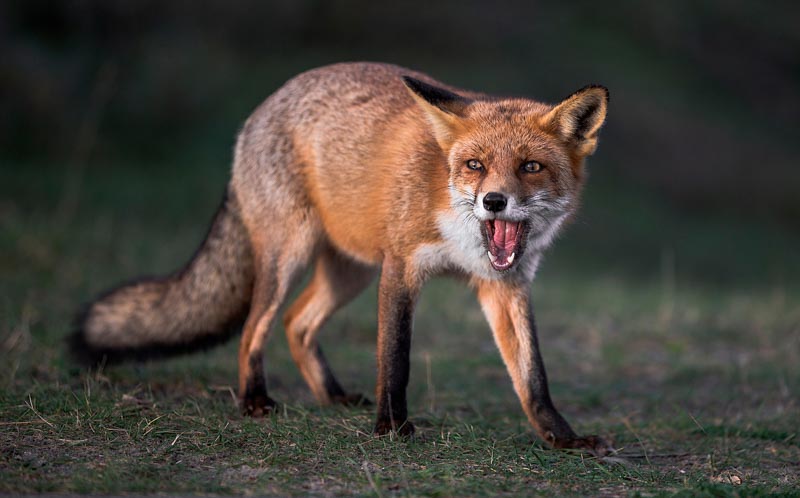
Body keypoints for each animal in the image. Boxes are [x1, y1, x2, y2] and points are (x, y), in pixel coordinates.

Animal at [71, 62, 611, 454]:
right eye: (474, 165)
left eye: (531, 167)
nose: (494, 201)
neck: (463, 234)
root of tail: (266, 104)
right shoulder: (401, 268)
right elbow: (395, 358)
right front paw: (391, 428)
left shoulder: (505, 284)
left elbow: (533, 375)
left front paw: (561, 437)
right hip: (290, 256)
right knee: (254, 327)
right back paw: (255, 399)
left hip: (349, 270)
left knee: (297, 322)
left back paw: (331, 396)